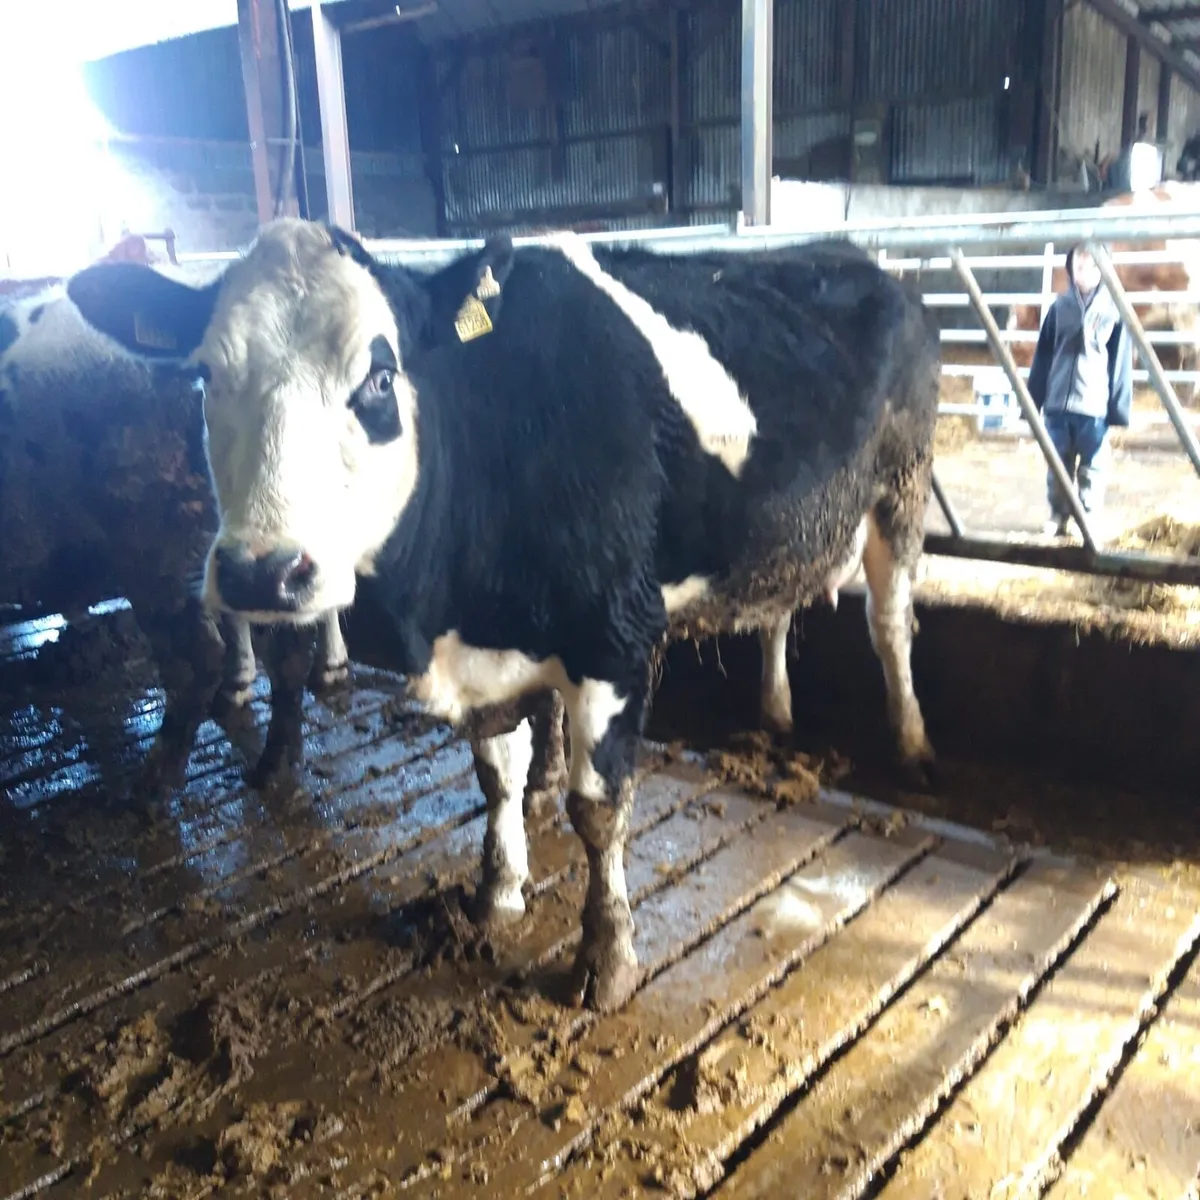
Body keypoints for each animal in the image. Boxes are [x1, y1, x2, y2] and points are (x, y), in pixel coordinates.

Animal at [66, 218, 940, 1012]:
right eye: (206, 374)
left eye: (379, 378)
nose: (262, 572)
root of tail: (862, 257)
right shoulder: (481, 651)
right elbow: (495, 776)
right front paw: (497, 892)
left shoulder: (615, 636)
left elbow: (599, 809)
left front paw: (605, 957)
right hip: (790, 525)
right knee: (781, 607)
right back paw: (775, 708)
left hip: (901, 490)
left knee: (890, 623)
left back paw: (910, 741)